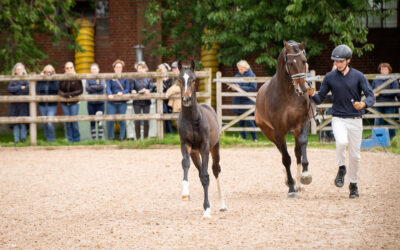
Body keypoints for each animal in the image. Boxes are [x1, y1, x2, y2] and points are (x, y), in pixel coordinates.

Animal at [178, 60, 228, 219]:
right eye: (179, 79)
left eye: (193, 79)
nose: (186, 99)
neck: (192, 119)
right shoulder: (185, 145)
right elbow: (185, 164)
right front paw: (185, 193)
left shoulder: (205, 147)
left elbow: (206, 176)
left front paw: (207, 210)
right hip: (195, 153)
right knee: (201, 173)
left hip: (214, 148)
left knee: (215, 170)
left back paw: (222, 205)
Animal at [256, 40, 312, 197]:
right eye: (291, 63)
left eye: (304, 61)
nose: (303, 89)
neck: (288, 94)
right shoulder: (279, 131)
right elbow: (286, 159)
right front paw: (291, 188)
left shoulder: (302, 124)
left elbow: (302, 146)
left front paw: (305, 176)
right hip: (270, 134)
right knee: (282, 152)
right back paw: (289, 181)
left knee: (297, 152)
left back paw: (298, 182)